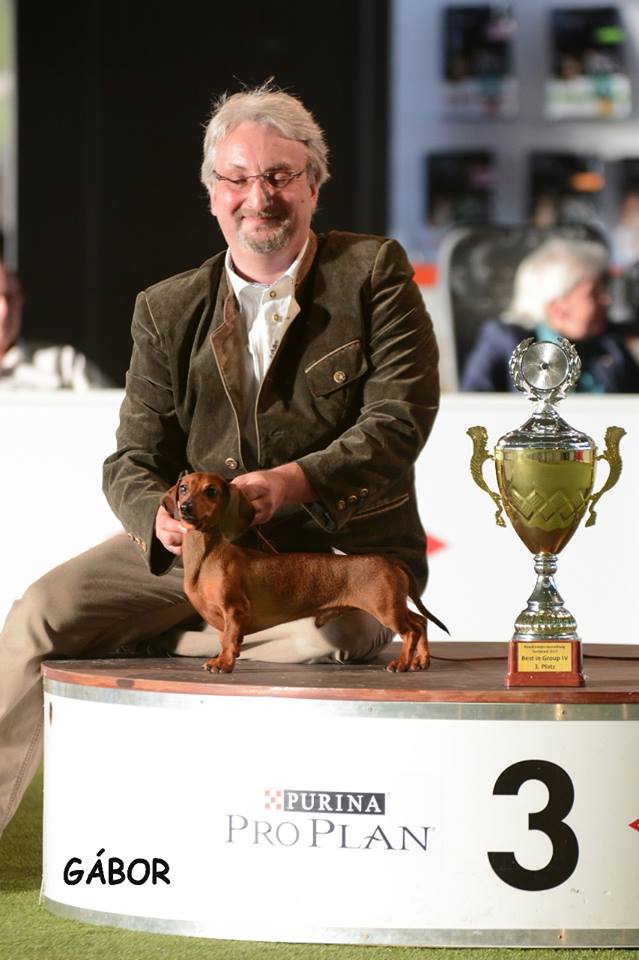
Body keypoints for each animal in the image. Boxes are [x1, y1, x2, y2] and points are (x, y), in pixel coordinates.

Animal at [162, 472, 447, 675]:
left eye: (211, 491)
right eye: (184, 488)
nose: (186, 507)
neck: (208, 556)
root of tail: (389, 561)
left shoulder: (234, 610)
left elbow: (230, 641)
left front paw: (223, 663)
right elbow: (225, 640)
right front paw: (223, 659)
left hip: (385, 609)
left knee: (410, 631)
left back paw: (401, 664)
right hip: (393, 606)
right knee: (420, 622)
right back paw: (420, 661)